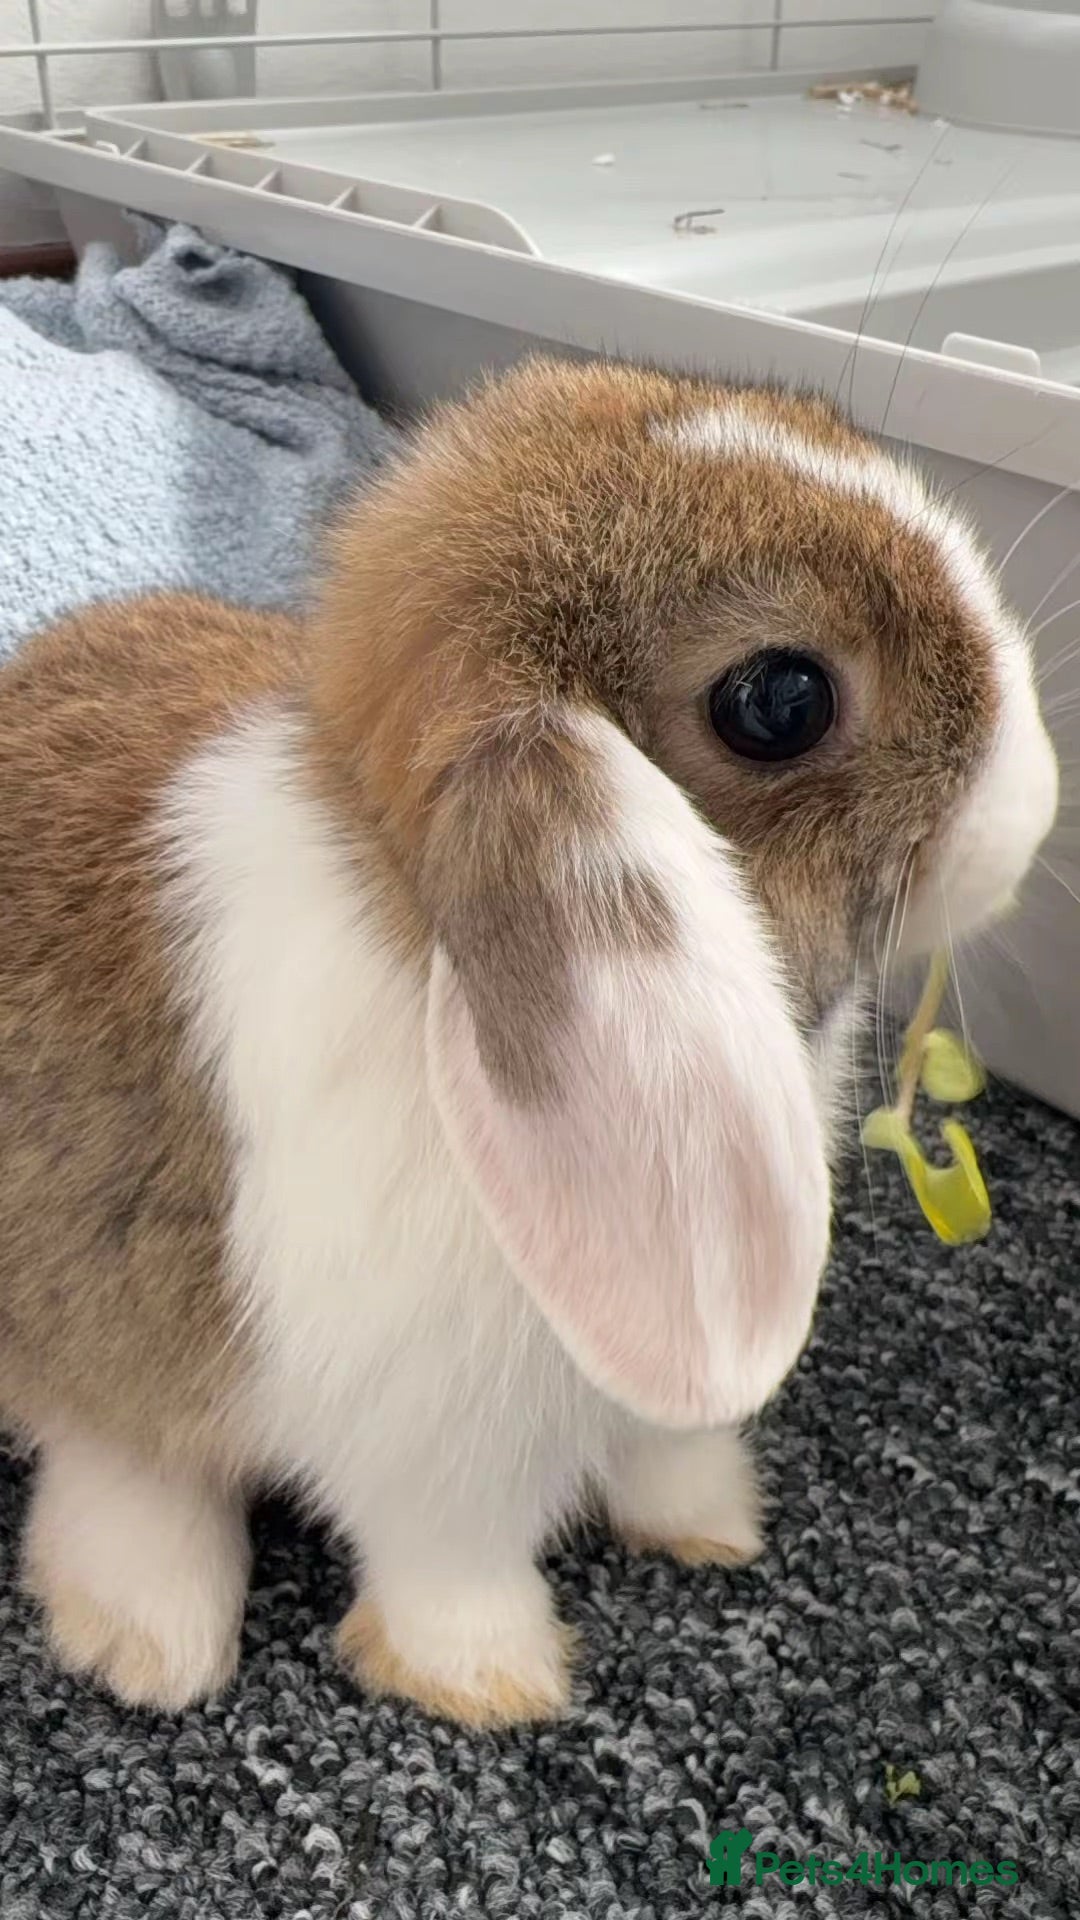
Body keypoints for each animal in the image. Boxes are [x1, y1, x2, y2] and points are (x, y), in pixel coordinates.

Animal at [0, 358, 1058, 1728]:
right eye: (781, 701)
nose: (1036, 797)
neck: (429, 941)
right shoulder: (437, 1457)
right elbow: (452, 1565)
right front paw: (494, 1681)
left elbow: (669, 1444)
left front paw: (712, 1523)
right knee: (113, 1448)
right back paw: (148, 1638)